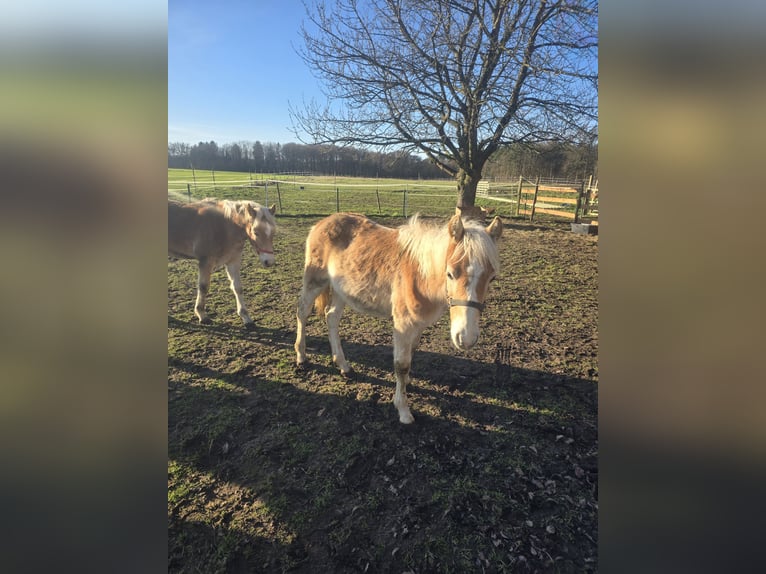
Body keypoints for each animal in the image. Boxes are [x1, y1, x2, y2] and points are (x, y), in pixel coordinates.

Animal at [170, 199, 278, 328]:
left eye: (273, 232)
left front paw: (246, 317)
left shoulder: (233, 261)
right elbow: (203, 287)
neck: (224, 226)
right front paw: (202, 315)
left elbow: (237, 287)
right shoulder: (206, 261)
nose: (269, 261)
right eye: (256, 232)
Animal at [296, 210, 504, 424]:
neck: (420, 276)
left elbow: (410, 354)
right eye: (450, 274)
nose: (466, 338)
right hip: (315, 281)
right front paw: (403, 409)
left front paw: (407, 383)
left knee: (332, 318)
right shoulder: (403, 325)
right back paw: (301, 356)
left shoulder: (418, 325)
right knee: (302, 311)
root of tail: (322, 222)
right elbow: (401, 365)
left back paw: (343, 365)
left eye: (492, 278)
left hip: (340, 290)